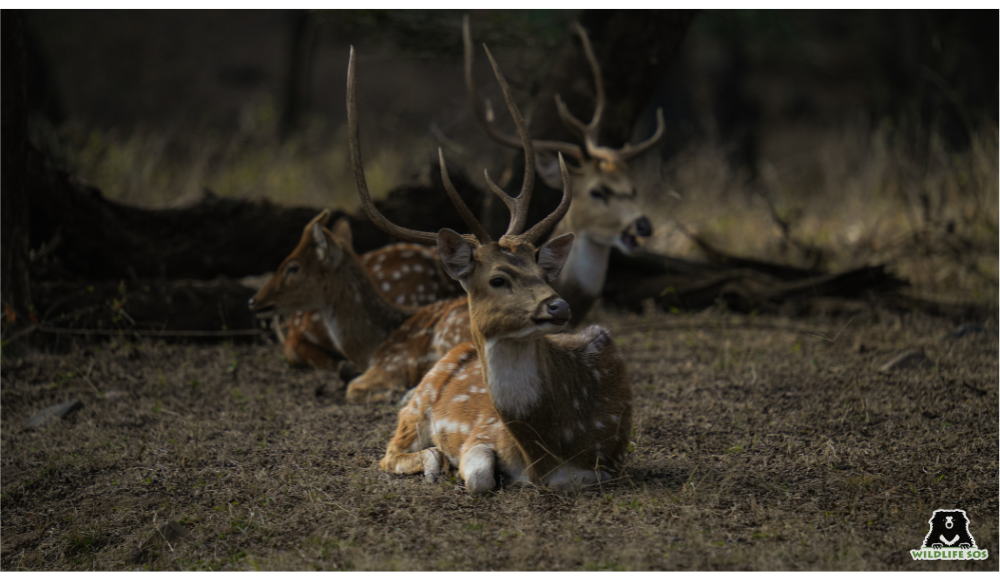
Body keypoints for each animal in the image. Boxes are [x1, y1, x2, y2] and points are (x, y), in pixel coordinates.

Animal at [248, 213, 472, 404]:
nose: (253, 301)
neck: (371, 349)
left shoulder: (394, 364)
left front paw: (393, 392)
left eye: (293, 267)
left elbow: (352, 389)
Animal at [347, 44, 633, 493]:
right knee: (390, 450)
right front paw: (450, 466)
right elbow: (479, 476)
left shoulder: (611, 460)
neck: (546, 452)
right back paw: (432, 461)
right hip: (418, 400)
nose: (558, 307)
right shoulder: (483, 434)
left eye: (544, 273)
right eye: (498, 279)